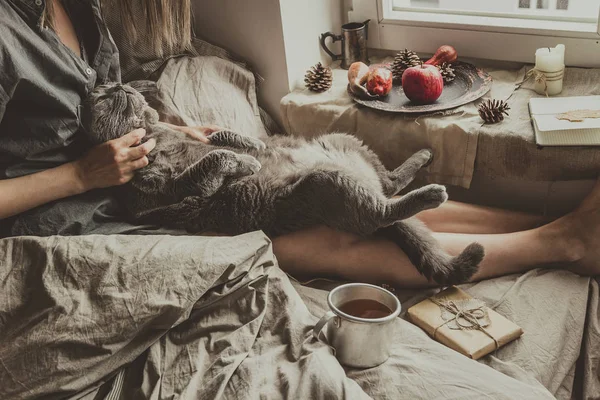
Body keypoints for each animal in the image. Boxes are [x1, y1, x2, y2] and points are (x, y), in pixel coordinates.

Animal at [83, 83, 482, 284]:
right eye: (100, 97)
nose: (117, 83)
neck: (155, 135)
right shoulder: (170, 195)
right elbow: (210, 162)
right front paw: (248, 161)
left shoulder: (202, 139)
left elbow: (222, 139)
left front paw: (252, 147)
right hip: (328, 182)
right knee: (380, 211)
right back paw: (431, 193)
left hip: (344, 142)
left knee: (391, 182)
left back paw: (425, 154)